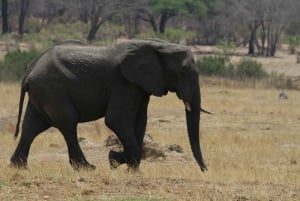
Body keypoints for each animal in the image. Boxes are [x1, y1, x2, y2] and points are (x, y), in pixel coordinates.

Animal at [11, 38, 209, 171]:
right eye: (181, 73)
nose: (205, 169)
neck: (159, 45)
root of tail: (29, 71)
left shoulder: (140, 85)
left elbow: (140, 121)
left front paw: (124, 164)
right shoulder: (123, 83)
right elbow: (117, 120)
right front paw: (116, 160)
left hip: (43, 93)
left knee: (32, 126)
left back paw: (18, 167)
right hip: (53, 90)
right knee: (68, 124)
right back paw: (87, 168)